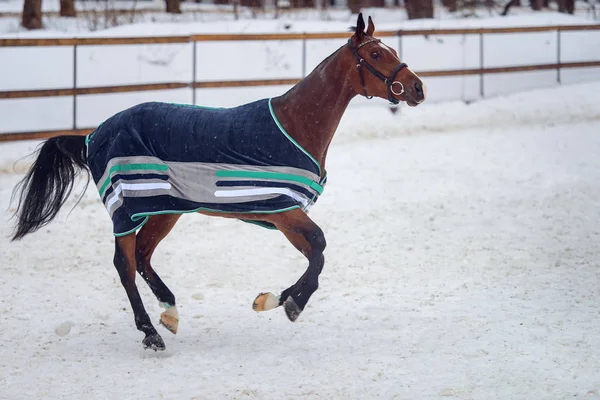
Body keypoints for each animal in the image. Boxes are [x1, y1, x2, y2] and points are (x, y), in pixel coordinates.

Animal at [9, 13, 426, 350]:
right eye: (376, 55)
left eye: (390, 49)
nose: (417, 87)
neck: (294, 125)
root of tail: (92, 136)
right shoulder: (283, 210)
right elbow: (320, 248)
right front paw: (291, 304)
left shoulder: (283, 217)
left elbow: (315, 256)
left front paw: (272, 299)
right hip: (129, 210)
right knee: (125, 264)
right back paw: (151, 332)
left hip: (166, 210)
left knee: (142, 258)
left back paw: (169, 312)